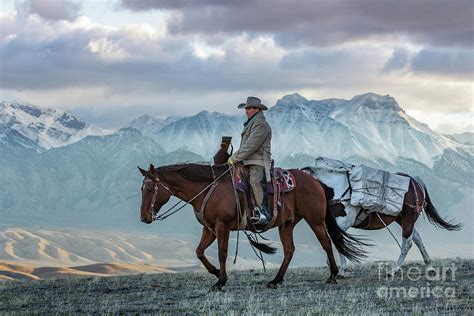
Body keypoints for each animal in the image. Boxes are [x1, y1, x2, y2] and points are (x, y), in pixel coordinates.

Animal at [137, 163, 366, 292]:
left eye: (148, 189)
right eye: (141, 189)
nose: (143, 217)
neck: (208, 189)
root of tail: (316, 181)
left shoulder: (222, 227)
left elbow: (221, 253)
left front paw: (221, 281)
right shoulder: (209, 229)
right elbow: (199, 252)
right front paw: (216, 273)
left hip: (315, 219)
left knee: (326, 243)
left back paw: (333, 275)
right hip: (287, 224)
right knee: (289, 250)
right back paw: (276, 280)